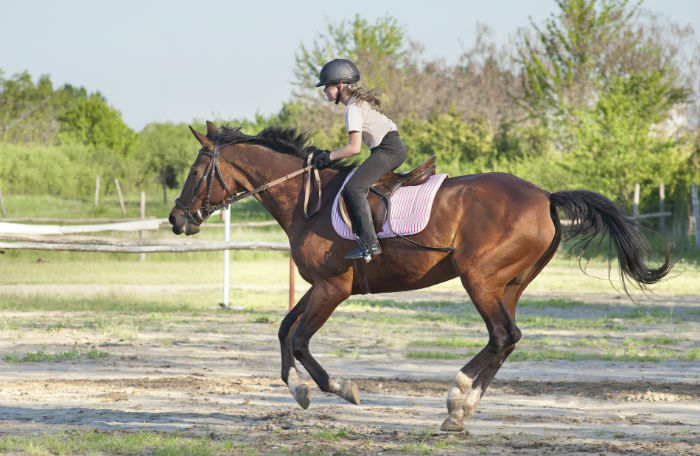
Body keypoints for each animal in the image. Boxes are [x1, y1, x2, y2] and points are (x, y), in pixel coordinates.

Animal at [167, 122, 668, 432]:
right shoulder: (318, 286)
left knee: (502, 335)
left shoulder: (333, 288)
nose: (176, 219)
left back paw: (458, 401)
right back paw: (461, 410)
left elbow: (301, 340)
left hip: (480, 279)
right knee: (506, 338)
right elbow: (284, 330)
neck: (307, 200)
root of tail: (546, 195)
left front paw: (339, 389)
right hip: (508, 284)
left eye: (194, 170)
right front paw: (299, 390)